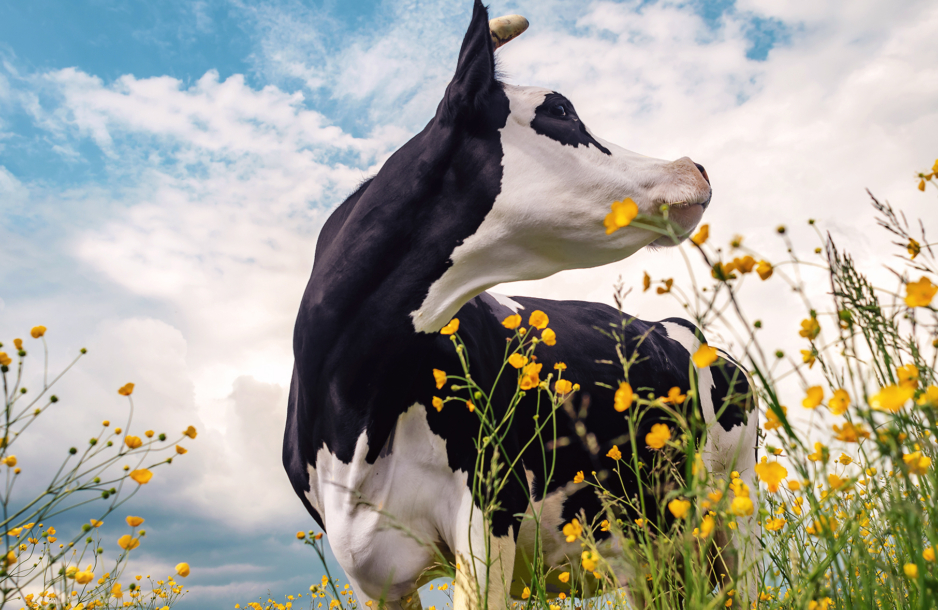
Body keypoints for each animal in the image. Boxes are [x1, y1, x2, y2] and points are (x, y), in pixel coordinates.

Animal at [283, 2, 759, 609]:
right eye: (559, 109)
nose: (694, 166)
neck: (353, 405)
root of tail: (681, 328)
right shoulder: (370, 570)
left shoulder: (488, 517)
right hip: (649, 549)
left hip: (737, 506)